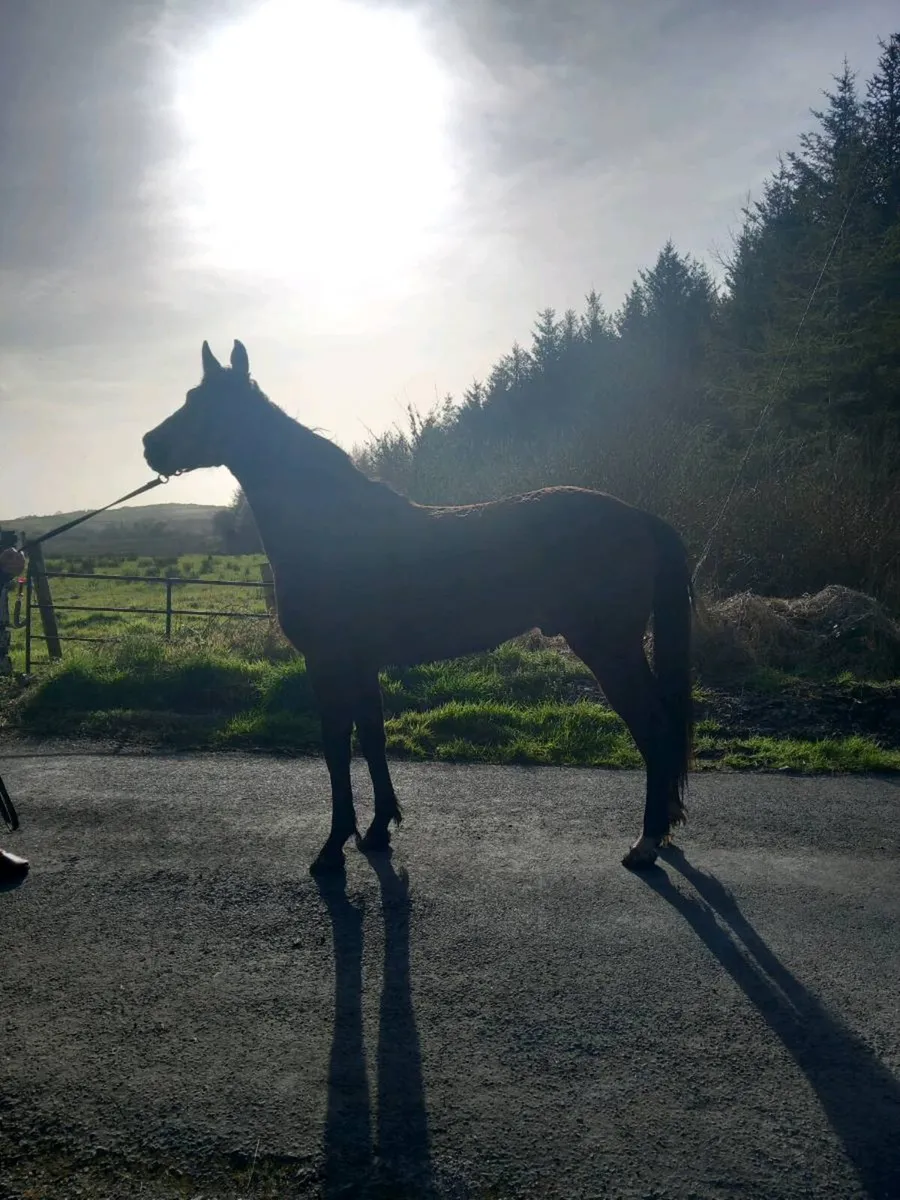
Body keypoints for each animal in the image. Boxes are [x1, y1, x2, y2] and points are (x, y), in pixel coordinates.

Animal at [143, 340, 694, 874]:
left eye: (207, 404)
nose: (150, 446)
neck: (331, 527)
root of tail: (640, 517)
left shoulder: (327, 663)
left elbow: (335, 748)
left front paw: (332, 849)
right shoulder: (361, 664)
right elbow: (372, 738)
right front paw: (378, 830)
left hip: (608, 648)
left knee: (654, 728)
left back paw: (645, 844)